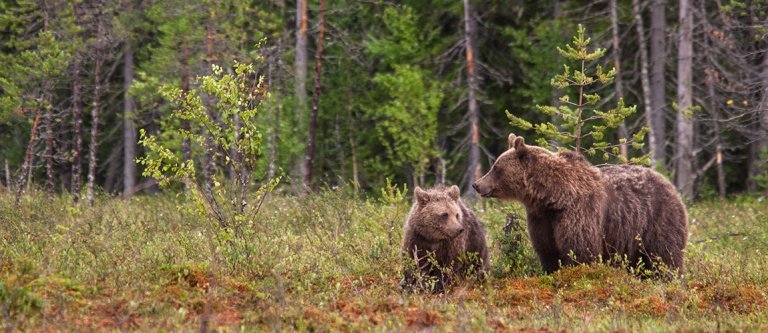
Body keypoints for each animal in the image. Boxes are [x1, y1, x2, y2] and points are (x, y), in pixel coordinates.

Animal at [472, 134, 688, 274]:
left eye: (496, 167)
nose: (477, 184)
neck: (552, 197)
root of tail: (672, 186)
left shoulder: (579, 212)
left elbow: (580, 250)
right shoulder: (541, 219)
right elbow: (547, 250)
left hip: (658, 220)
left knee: (664, 255)